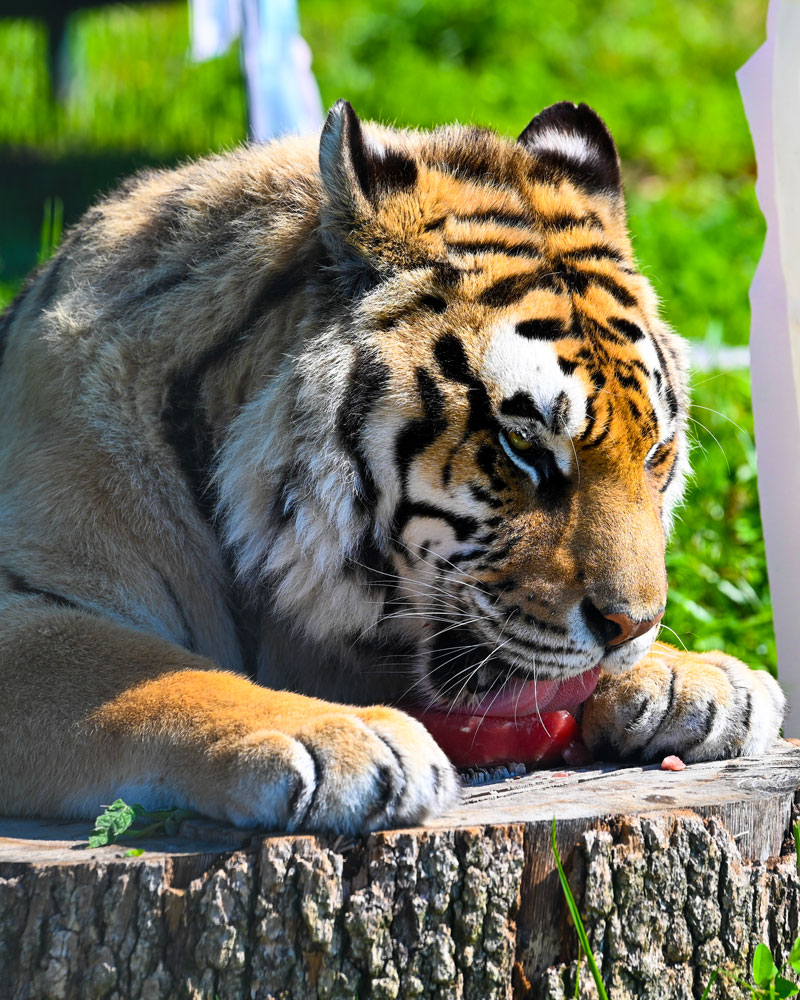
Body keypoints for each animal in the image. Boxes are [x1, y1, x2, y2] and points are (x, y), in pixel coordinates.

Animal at [0, 101, 788, 836]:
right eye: (525, 446)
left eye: (656, 454)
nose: (633, 627)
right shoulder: (31, 602)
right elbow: (144, 672)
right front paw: (340, 739)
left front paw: (698, 680)